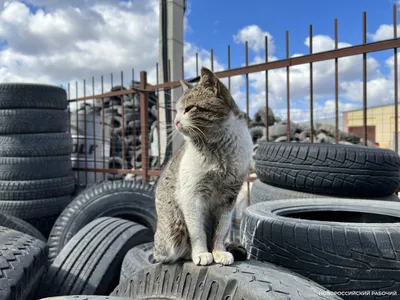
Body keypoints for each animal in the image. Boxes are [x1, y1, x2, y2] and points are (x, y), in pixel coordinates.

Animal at [153, 67, 253, 266]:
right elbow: (197, 231)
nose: (175, 121)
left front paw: (219, 252)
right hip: (173, 230)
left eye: (189, 108)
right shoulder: (192, 195)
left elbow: (220, 231)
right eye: (177, 111)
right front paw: (201, 253)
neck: (217, 147)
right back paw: (186, 253)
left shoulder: (229, 197)